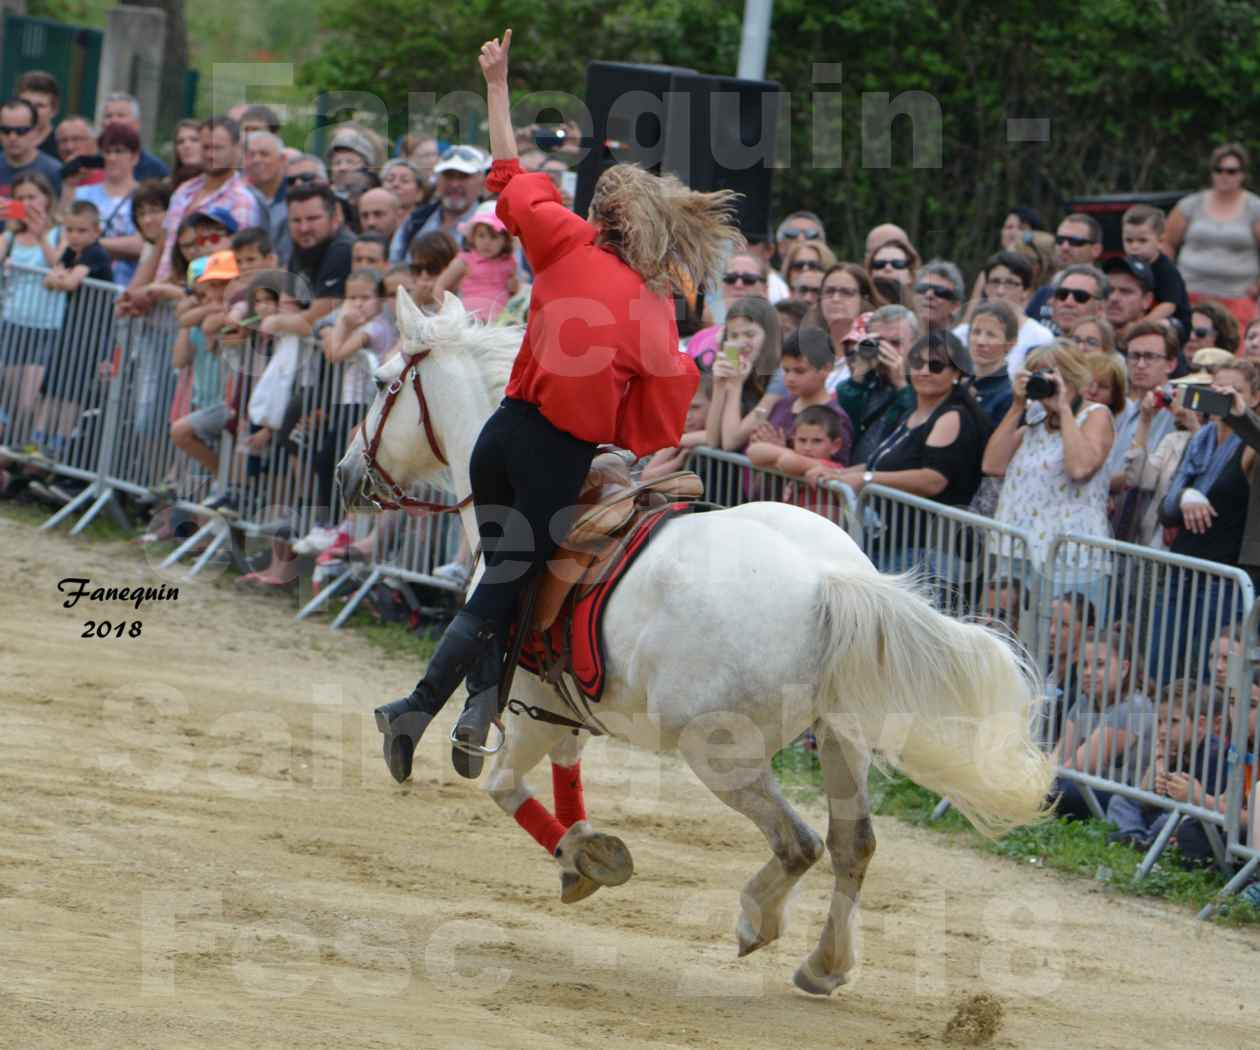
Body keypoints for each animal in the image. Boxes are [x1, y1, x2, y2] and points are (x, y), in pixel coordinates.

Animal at [335, 291, 1053, 993]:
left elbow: (503, 787)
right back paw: (824, 964)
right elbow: (565, 776)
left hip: (720, 755)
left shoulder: (528, 708)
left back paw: (757, 919)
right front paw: (583, 854)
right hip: (841, 736)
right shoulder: (559, 707)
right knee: (854, 845)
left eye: (382, 381)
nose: (345, 473)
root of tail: (828, 580)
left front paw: (577, 853)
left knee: (799, 844)